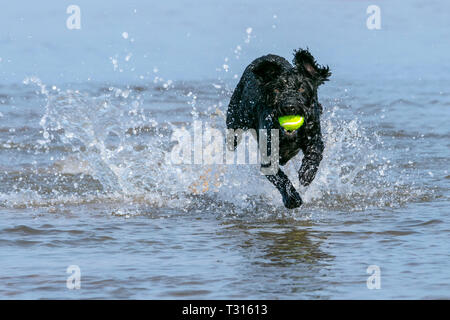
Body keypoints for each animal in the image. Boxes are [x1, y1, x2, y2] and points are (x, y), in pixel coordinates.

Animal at [227, 48, 328, 209]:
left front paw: (306, 174)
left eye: (301, 88)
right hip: (234, 121)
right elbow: (280, 178)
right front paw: (292, 198)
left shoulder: (314, 136)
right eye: (277, 89)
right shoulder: (268, 156)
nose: (289, 106)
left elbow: (315, 154)